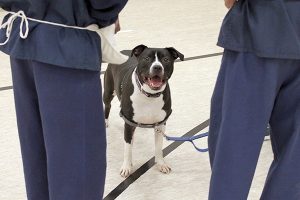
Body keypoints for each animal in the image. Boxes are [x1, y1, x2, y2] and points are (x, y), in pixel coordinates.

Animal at [103, 44, 183, 177]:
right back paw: (105, 122)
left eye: (166, 59)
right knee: (107, 106)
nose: (157, 67)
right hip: (108, 91)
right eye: (147, 58)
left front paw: (161, 163)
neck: (149, 95)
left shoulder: (160, 124)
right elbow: (127, 149)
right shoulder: (128, 123)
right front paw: (126, 167)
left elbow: (158, 147)